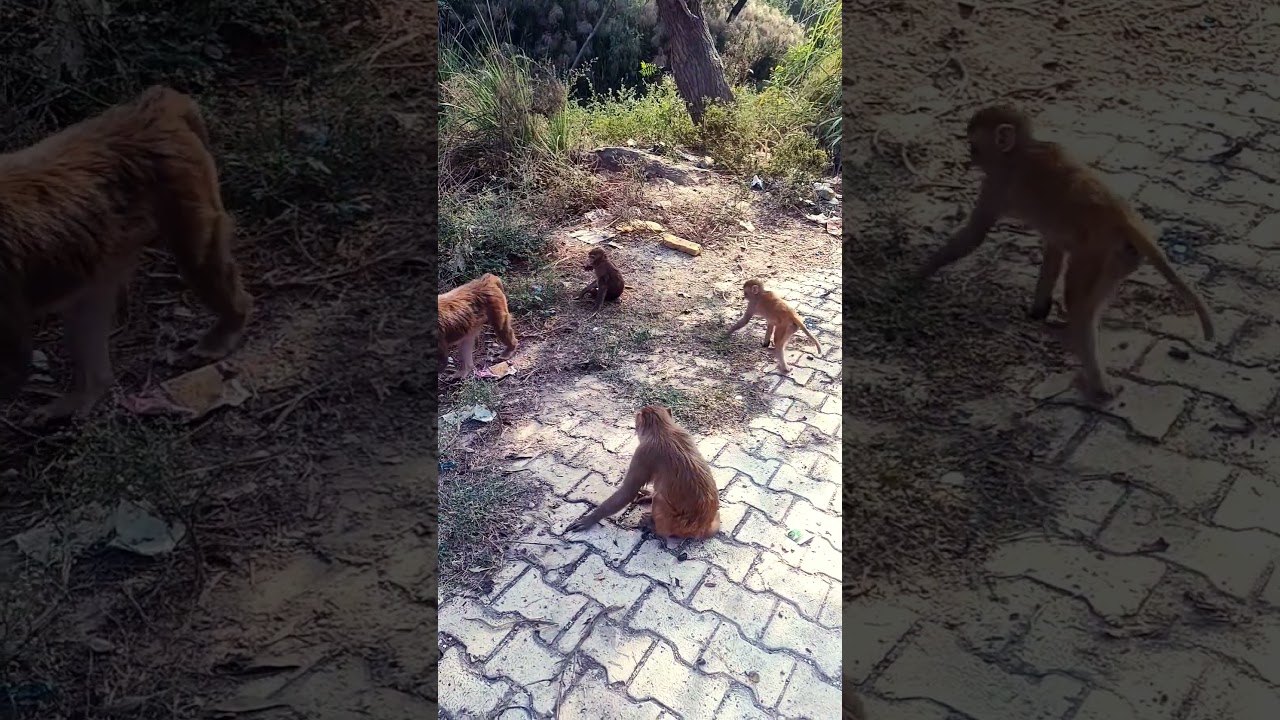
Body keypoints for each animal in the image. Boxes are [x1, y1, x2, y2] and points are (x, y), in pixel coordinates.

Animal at [0, 85, 253, 427]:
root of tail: (149, 108)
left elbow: (13, 357)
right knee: (88, 302)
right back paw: (90, 389)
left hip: (181, 180)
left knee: (199, 258)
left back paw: (230, 322)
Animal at [565, 405, 720, 539]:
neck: (662, 429)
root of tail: (703, 527)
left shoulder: (642, 452)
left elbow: (628, 491)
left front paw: (591, 518)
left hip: (677, 524)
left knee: (659, 500)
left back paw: (654, 526)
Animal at [915, 104, 1215, 402]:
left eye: (974, 145)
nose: (970, 156)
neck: (1023, 149)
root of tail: (1123, 217)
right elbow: (1054, 248)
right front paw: (1038, 310)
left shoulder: (997, 183)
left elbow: (974, 236)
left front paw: (918, 272)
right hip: (1122, 258)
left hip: (1097, 254)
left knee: (1079, 303)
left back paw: (1096, 380)